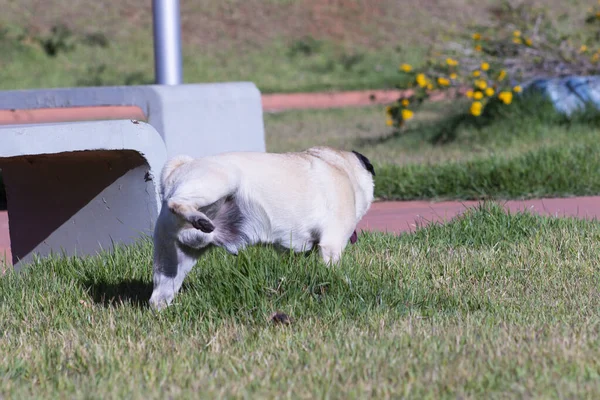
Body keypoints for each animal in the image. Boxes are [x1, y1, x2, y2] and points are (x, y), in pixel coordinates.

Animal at [150, 147, 376, 310]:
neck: (343, 168)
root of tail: (178, 167)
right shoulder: (332, 245)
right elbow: (336, 272)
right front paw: (347, 286)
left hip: (173, 261)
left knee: (158, 297)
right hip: (220, 181)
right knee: (178, 203)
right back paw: (199, 219)